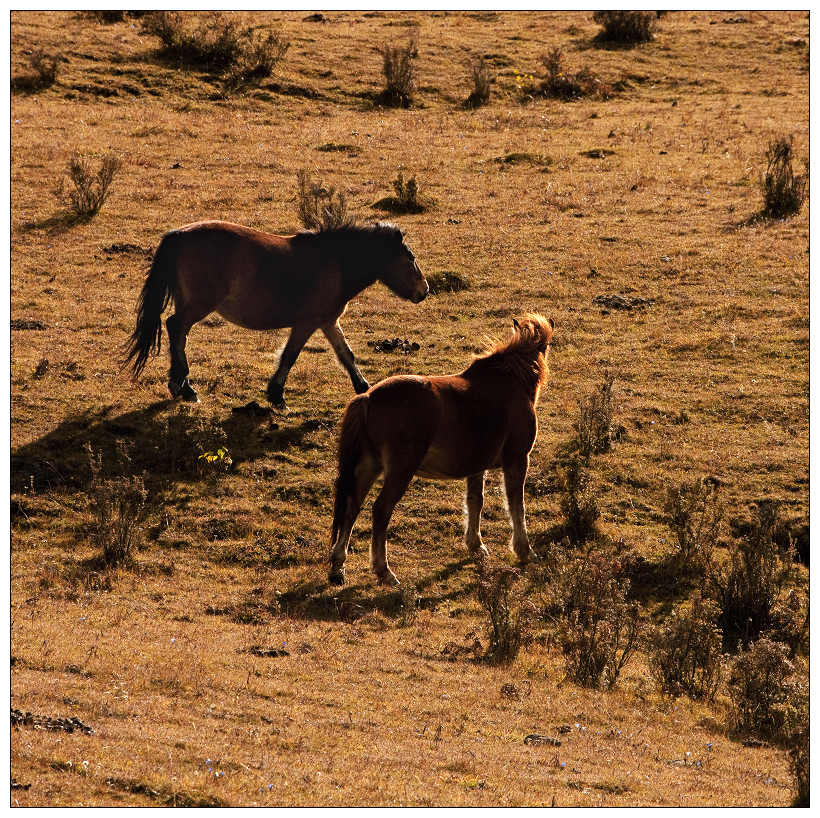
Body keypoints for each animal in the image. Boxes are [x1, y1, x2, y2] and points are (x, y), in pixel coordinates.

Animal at [125, 222, 430, 404]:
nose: (424, 291)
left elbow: (346, 355)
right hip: (197, 305)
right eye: (410, 259)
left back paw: (180, 385)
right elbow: (290, 356)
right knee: (176, 328)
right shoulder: (307, 323)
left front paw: (363, 387)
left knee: (177, 333)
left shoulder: (328, 321)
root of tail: (178, 235)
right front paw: (276, 395)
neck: (335, 262)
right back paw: (184, 387)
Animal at [330, 312, 556, 588]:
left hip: (367, 467)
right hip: (399, 471)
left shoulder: (477, 466)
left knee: (352, 506)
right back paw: (384, 571)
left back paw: (338, 567)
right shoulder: (517, 460)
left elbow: (475, 501)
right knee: (380, 510)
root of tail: (368, 398)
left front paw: (476, 545)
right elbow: (517, 505)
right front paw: (525, 551)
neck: (509, 382)